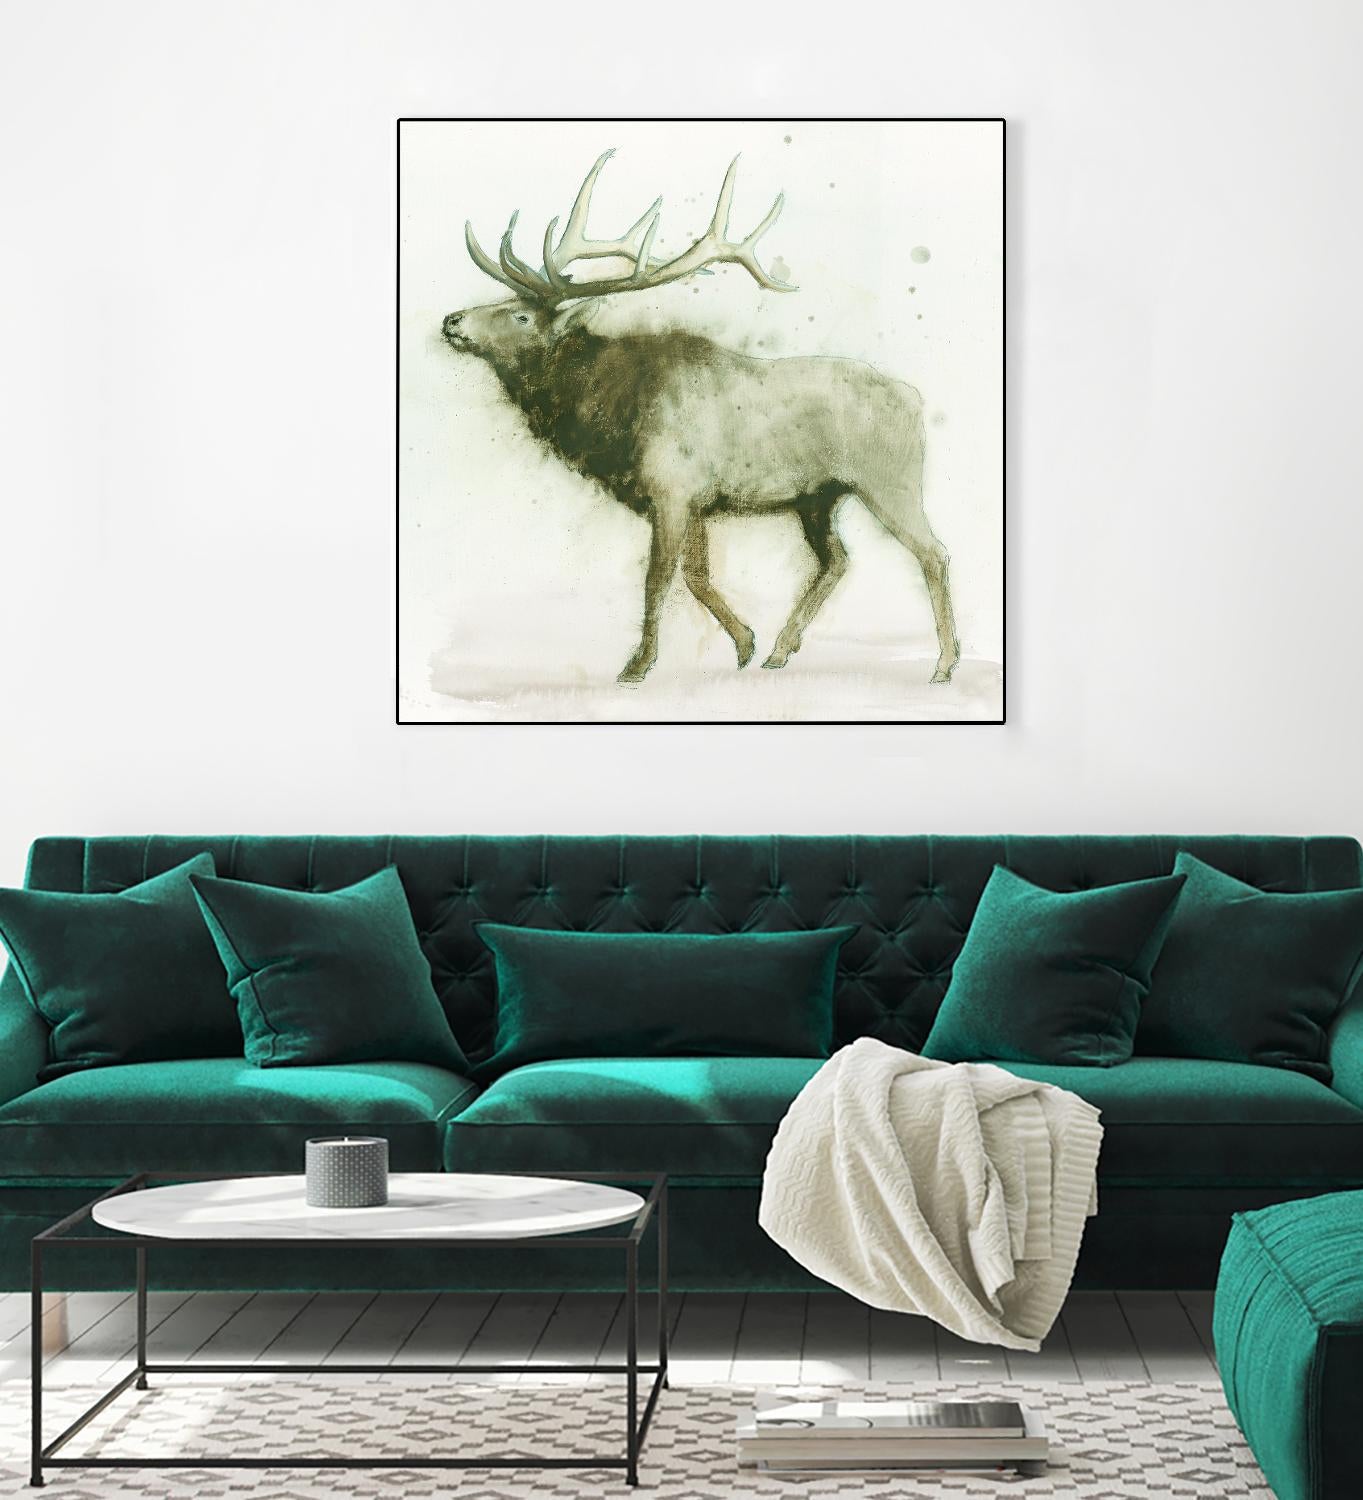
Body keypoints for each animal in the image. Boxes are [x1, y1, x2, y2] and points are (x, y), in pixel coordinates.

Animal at [441, 150, 960, 686]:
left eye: (521, 316)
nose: (452, 321)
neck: (609, 420)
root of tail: (914, 400)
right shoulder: (696, 501)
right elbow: (696, 575)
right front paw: (745, 643)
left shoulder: (671, 489)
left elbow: (658, 579)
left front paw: (637, 665)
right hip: (817, 497)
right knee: (837, 560)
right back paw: (781, 649)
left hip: (889, 479)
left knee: (933, 553)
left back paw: (944, 664)